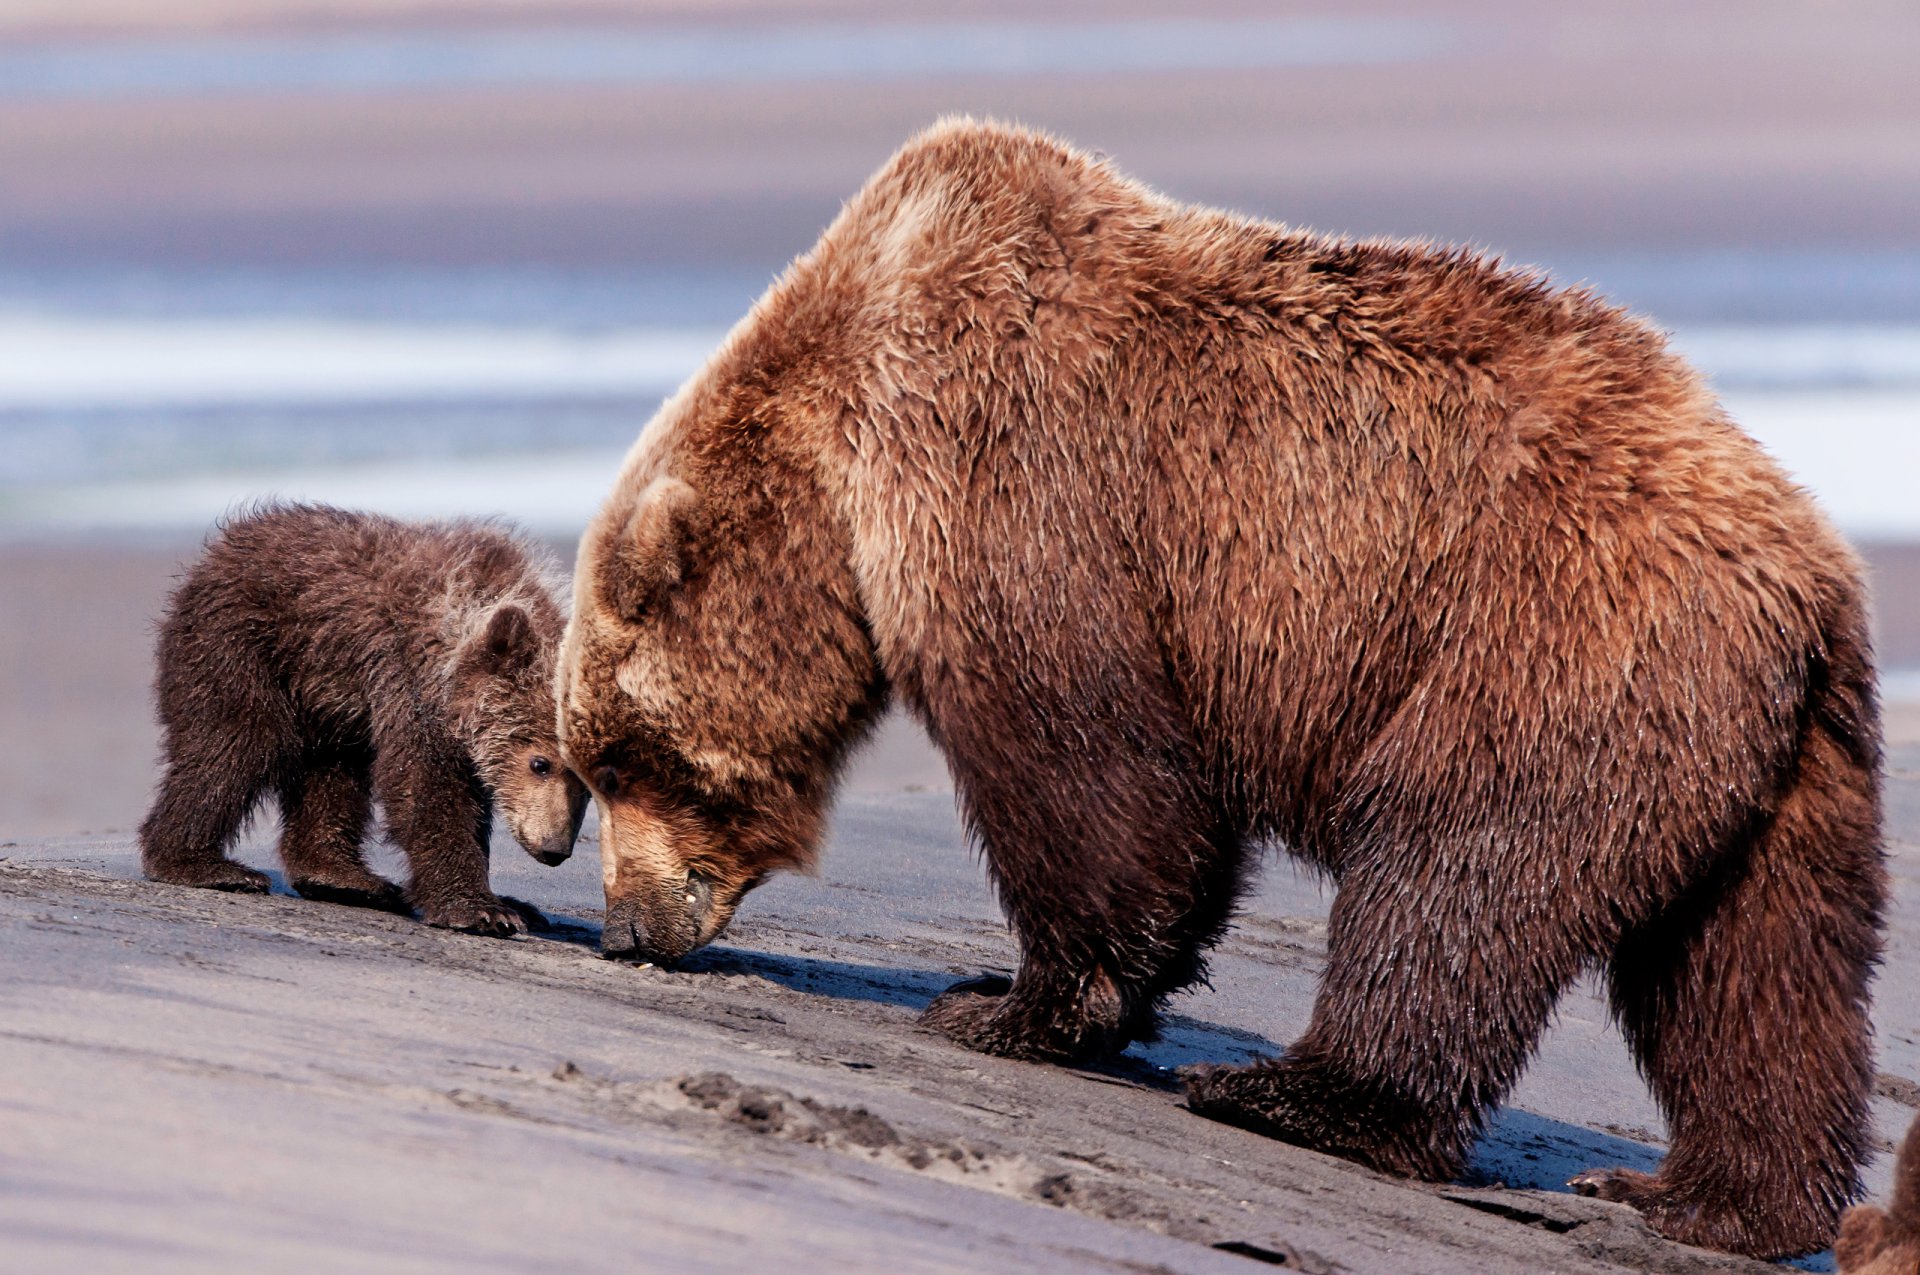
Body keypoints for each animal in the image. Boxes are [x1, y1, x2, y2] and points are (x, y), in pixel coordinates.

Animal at [141, 503, 588, 936]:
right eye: (540, 764)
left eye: (586, 785)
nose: (555, 849)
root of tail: (223, 547)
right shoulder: (410, 678)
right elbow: (426, 785)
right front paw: (481, 909)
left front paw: (514, 903)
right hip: (242, 642)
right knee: (235, 744)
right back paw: (201, 864)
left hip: (324, 694)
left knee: (331, 771)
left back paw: (345, 877)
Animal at [553, 119, 1885, 1258]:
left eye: (618, 760)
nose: (626, 927)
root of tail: (1810, 568)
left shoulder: (1008, 469)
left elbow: (1088, 766)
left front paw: (1004, 1004)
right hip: (1777, 758)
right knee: (1756, 974)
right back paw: (1700, 1197)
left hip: (1546, 638)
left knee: (1454, 862)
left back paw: (1295, 1091)